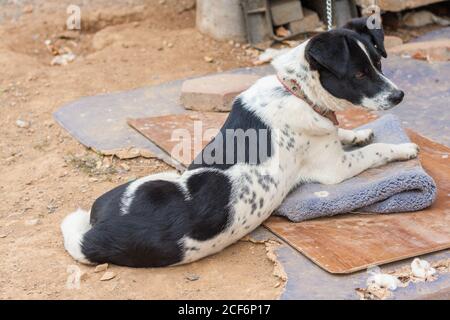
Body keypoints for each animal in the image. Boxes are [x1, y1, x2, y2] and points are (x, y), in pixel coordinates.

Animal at [60, 18, 418, 268]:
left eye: (379, 64)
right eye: (358, 75)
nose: (400, 96)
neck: (295, 91)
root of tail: (93, 235)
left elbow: (344, 132)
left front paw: (357, 132)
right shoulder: (335, 168)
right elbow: (376, 150)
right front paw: (402, 149)